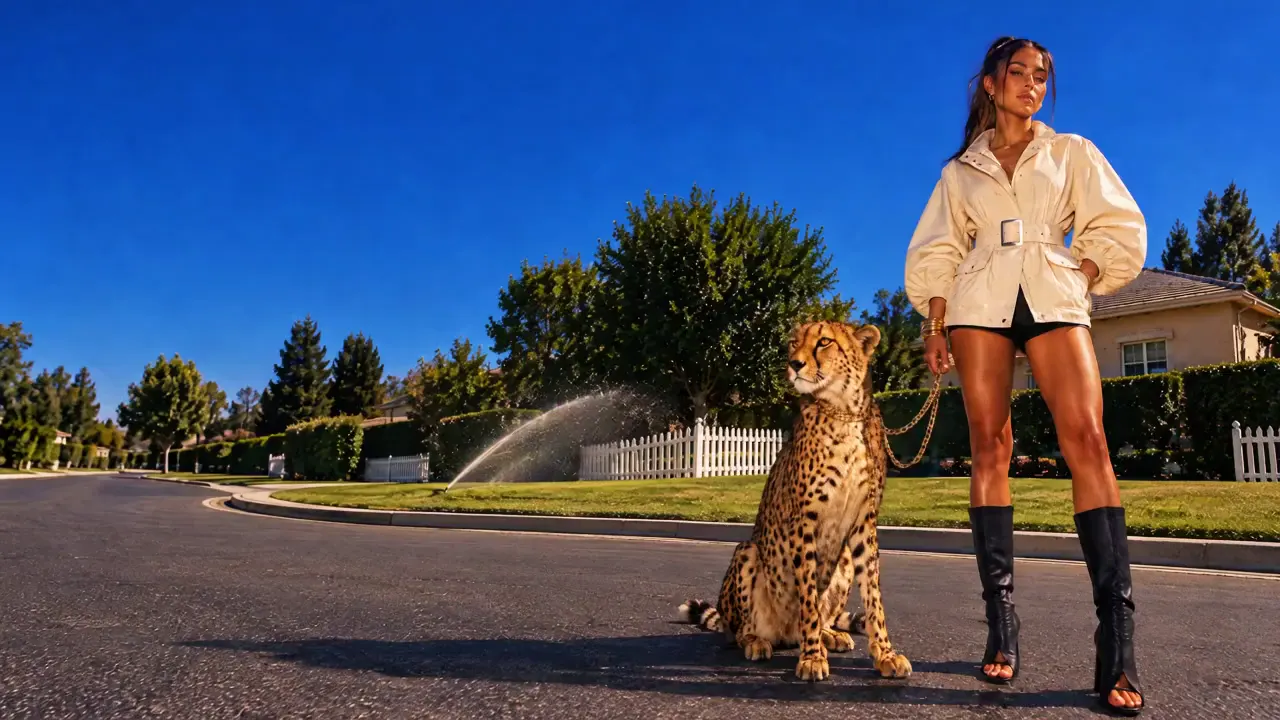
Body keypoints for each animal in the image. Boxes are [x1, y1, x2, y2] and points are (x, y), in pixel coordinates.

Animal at [677, 320, 913, 682]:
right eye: (792, 343)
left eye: (824, 342)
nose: (794, 364)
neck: (843, 411)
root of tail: (785, 635)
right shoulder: (804, 519)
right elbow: (808, 599)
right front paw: (812, 657)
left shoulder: (864, 521)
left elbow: (873, 595)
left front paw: (885, 653)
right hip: (747, 552)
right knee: (740, 630)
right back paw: (758, 641)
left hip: (843, 559)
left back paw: (831, 634)